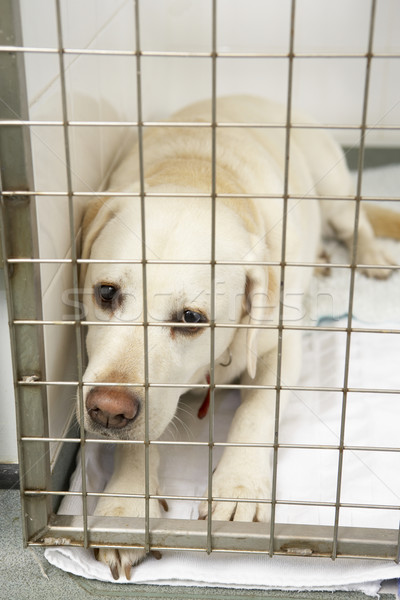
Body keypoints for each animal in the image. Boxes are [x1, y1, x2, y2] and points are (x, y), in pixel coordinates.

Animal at [77, 96, 396, 580]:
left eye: (191, 318)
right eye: (107, 293)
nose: (109, 411)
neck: (200, 173)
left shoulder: (281, 347)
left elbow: (255, 411)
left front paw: (238, 488)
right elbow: (138, 444)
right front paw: (127, 505)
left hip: (336, 189)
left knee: (354, 222)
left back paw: (371, 253)